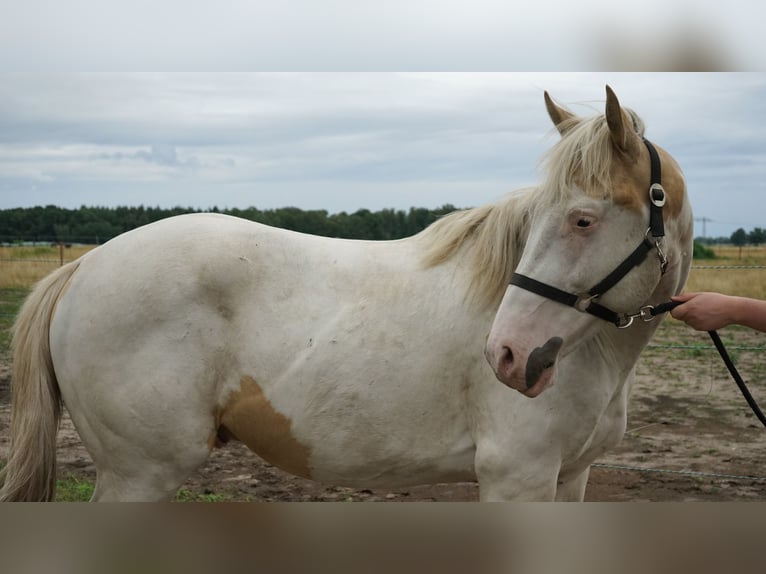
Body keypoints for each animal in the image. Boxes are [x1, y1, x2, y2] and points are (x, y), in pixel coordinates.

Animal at [0, 86, 693, 501]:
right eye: (550, 216)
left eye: (581, 220)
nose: (509, 356)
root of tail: (84, 267)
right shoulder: (516, 477)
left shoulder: (571, 477)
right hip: (139, 475)